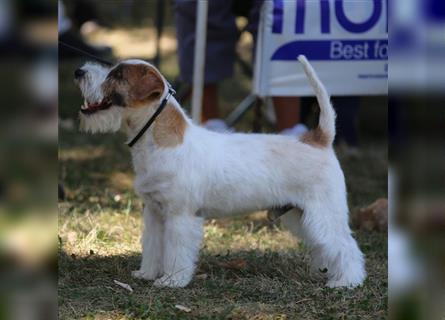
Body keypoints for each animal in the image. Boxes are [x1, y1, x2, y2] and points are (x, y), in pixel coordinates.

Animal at [73, 56, 364, 288]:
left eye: (118, 75)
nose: (79, 71)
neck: (158, 143)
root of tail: (319, 139)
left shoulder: (180, 217)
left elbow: (176, 252)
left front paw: (172, 280)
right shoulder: (154, 213)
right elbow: (153, 247)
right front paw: (147, 273)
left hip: (323, 214)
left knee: (346, 246)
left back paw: (346, 282)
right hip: (300, 215)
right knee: (326, 246)